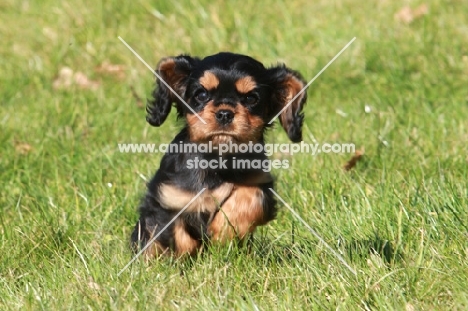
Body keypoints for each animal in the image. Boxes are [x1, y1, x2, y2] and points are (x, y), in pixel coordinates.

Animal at [132, 53, 308, 258]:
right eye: (201, 95)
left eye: (251, 98)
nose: (224, 113)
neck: (218, 160)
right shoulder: (167, 197)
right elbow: (176, 235)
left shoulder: (261, 185)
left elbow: (248, 197)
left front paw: (224, 232)